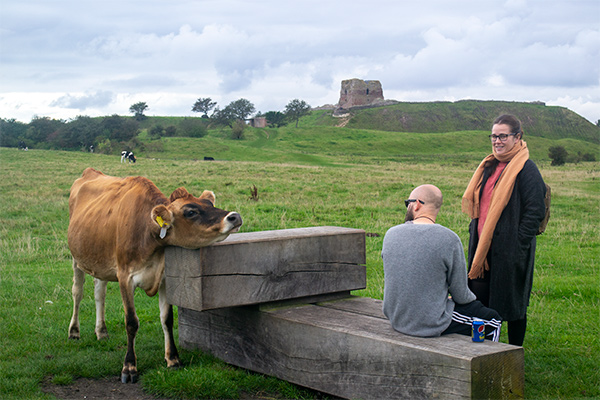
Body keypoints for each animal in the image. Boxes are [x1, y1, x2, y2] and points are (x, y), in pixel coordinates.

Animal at [66, 167, 241, 382]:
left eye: (210, 204)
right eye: (190, 212)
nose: (234, 216)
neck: (147, 235)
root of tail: (90, 171)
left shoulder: (165, 278)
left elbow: (167, 319)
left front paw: (173, 359)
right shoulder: (125, 277)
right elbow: (131, 322)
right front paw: (129, 367)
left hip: (99, 259)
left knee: (100, 293)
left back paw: (102, 331)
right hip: (76, 258)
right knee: (77, 292)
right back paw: (74, 331)